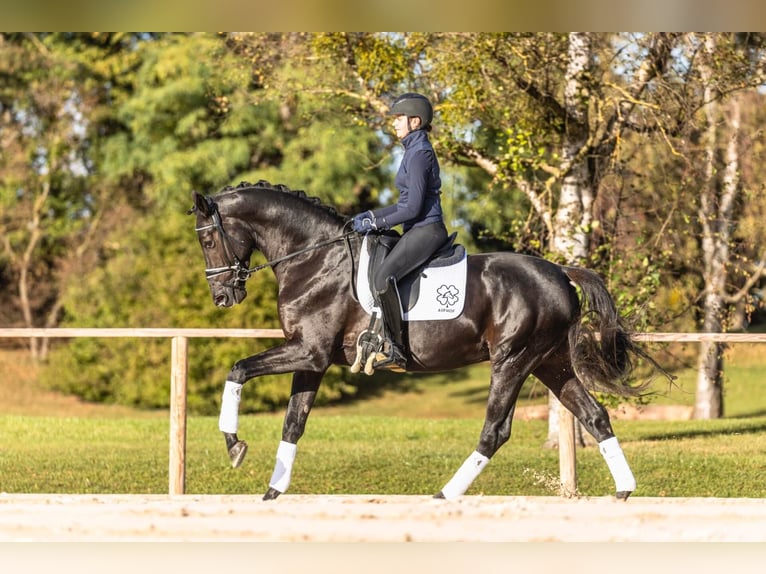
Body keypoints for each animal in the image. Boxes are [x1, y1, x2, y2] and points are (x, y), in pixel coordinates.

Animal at [190, 181, 660, 504]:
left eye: (208, 239)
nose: (222, 297)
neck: (315, 258)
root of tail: (560, 271)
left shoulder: (308, 351)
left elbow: (238, 370)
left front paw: (234, 446)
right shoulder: (313, 359)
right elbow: (293, 422)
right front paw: (273, 490)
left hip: (513, 360)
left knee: (495, 430)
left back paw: (445, 494)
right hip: (551, 362)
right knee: (595, 416)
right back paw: (623, 491)